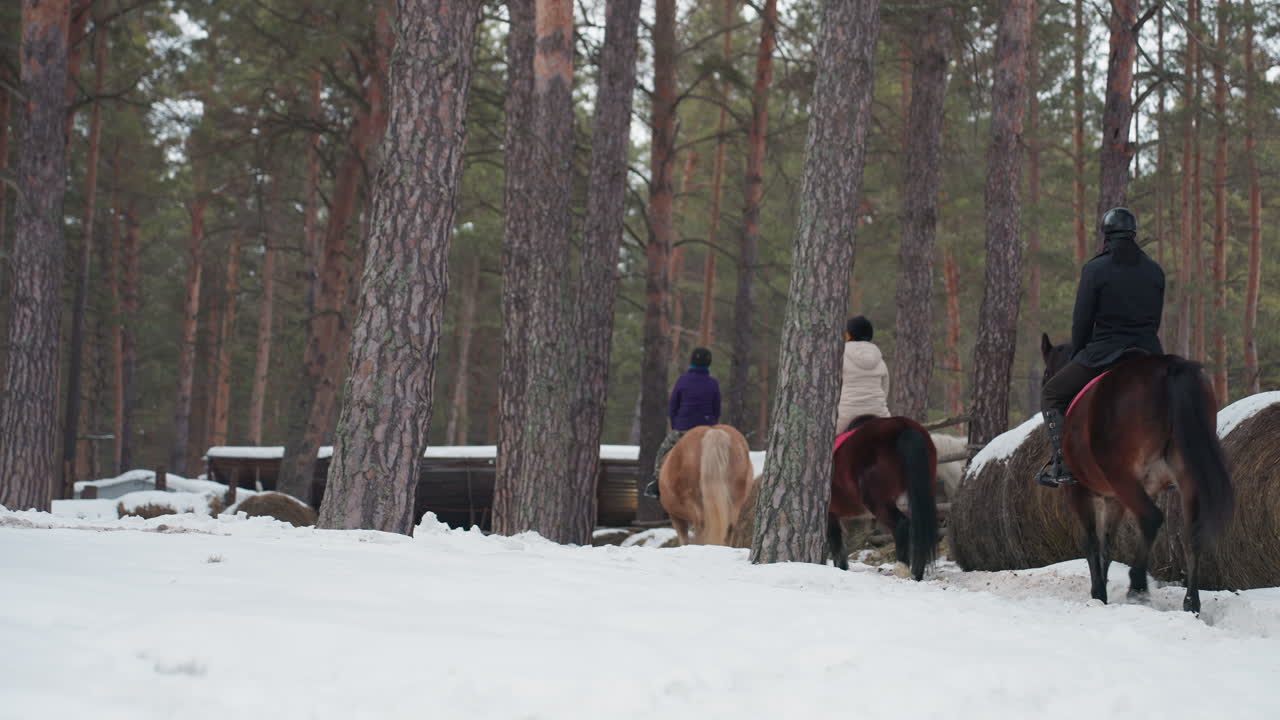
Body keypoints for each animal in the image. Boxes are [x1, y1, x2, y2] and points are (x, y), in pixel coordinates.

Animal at [829, 415, 939, 580]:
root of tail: (903, 425)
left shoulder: (830, 514)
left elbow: (836, 547)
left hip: (877, 500)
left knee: (901, 524)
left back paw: (902, 570)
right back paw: (916, 574)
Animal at [1040, 334, 1234, 613]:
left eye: (1046, 374)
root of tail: (1170, 367)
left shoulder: (1077, 492)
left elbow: (1091, 542)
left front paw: (1099, 593)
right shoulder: (1115, 498)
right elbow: (1107, 545)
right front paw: (1103, 587)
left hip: (1123, 478)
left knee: (1151, 518)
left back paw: (1138, 584)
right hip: (1185, 479)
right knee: (1192, 532)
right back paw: (1191, 603)